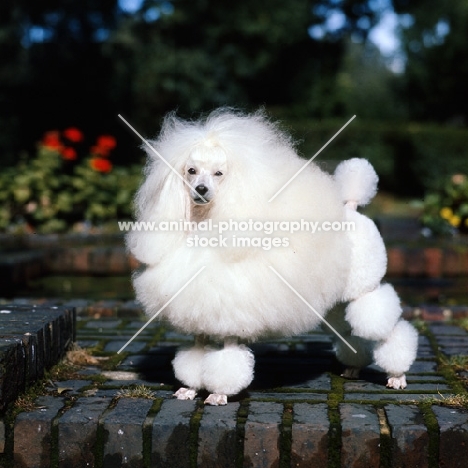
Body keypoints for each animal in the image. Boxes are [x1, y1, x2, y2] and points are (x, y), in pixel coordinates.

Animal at [127, 109, 416, 406]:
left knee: (385, 326)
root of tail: (352, 208)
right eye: (191, 171)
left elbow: (227, 360)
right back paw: (354, 367)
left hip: (364, 288)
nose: (201, 189)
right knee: (349, 330)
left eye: (219, 173)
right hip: (336, 301)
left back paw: (397, 375)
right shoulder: (200, 316)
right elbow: (195, 355)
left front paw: (219, 394)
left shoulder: (233, 316)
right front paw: (189, 389)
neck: (206, 224)